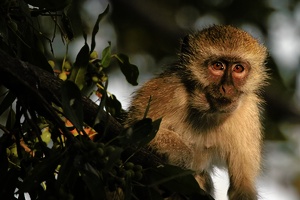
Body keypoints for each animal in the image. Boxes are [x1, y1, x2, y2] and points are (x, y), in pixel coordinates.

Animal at [123, 25, 268, 200]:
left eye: (238, 68)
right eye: (218, 66)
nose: (227, 88)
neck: (206, 111)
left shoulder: (247, 113)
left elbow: (242, 187)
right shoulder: (168, 90)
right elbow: (130, 131)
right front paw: (182, 155)